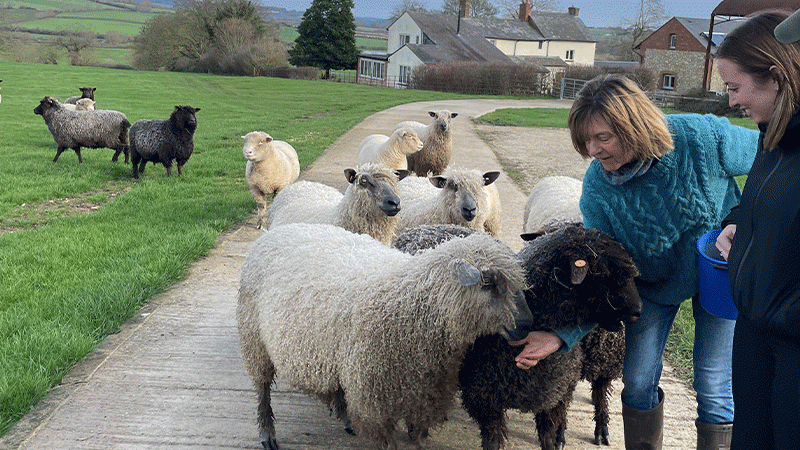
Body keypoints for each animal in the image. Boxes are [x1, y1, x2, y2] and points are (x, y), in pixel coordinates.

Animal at [237, 222, 530, 450]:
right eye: (488, 282)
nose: (527, 325)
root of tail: (281, 229)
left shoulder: (424, 389)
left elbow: (418, 434)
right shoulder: (376, 399)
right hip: (254, 338)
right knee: (262, 389)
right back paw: (267, 433)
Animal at [392, 224, 641, 450]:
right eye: (603, 272)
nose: (638, 310)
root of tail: (423, 228)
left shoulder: (554, 396)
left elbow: (549, 437)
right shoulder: (485, 398)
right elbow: (492, 441)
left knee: (600, 388)